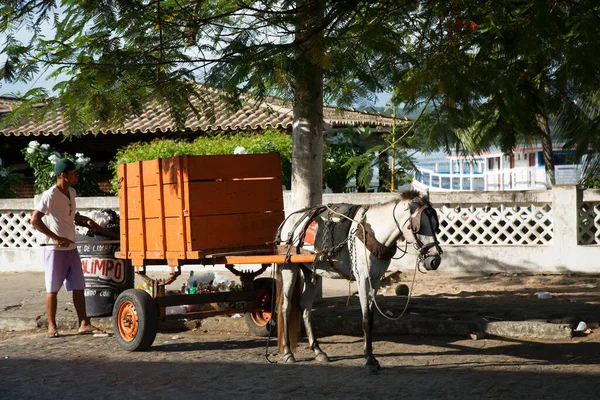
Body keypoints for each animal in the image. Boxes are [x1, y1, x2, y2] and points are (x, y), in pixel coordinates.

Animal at [274, 190, 442, 372]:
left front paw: (371, 356)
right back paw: (288, 352)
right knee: (286, 307)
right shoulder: (362, 279)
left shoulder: (375, 280)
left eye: (436, 225)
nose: (434, 260)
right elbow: (366, 319)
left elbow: (372, 318)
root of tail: (288, 220)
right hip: (289, 267)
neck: (374, 233)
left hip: (312, 270)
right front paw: (369, 359)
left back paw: (318, 350)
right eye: (417, 227)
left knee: (305, 306)